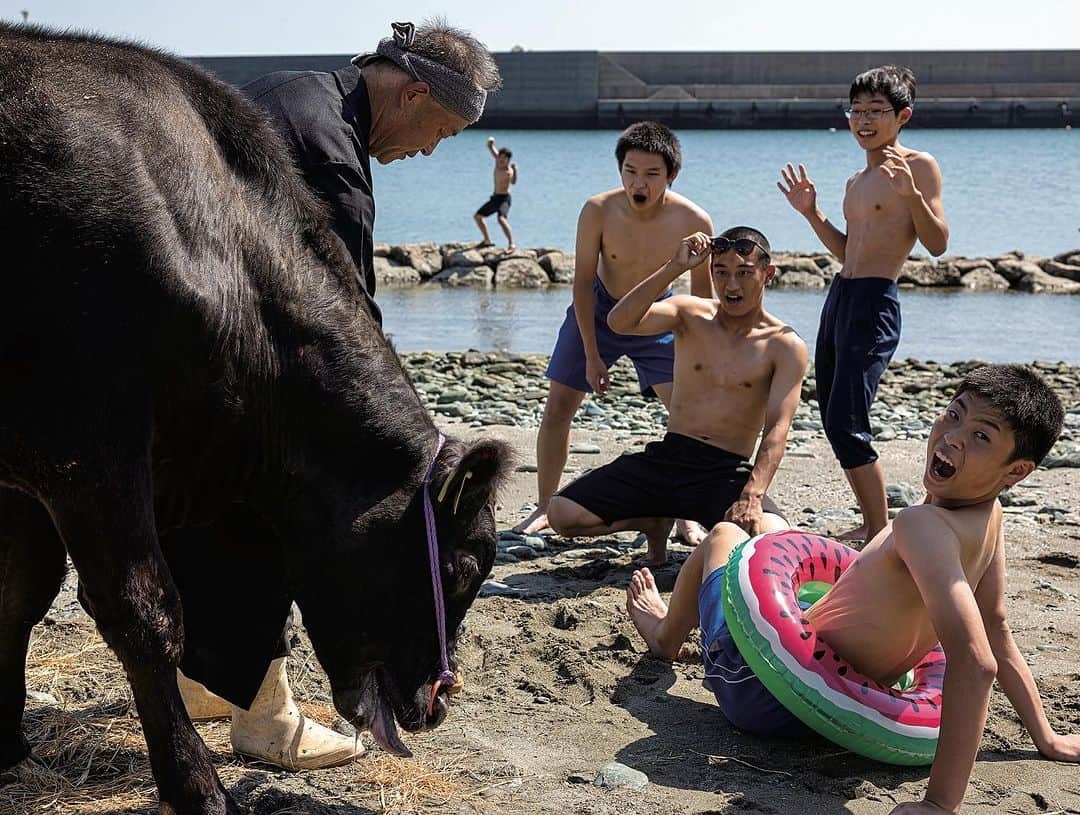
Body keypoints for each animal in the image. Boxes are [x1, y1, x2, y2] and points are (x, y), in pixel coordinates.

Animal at [0, 22, 509, 811]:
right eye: (460, 568)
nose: (438, 702)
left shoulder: (29, 471)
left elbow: (20, 591)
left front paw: (4, 741)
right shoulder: (87, 447)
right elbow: (144, 612)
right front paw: (198, 787)